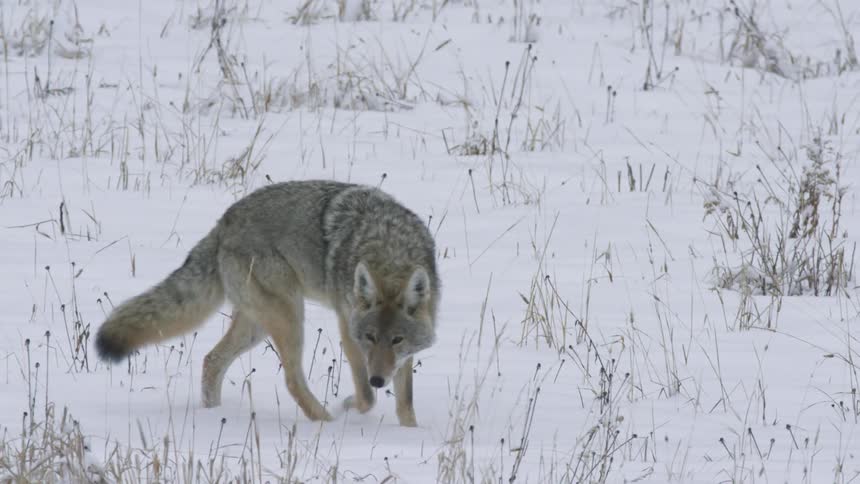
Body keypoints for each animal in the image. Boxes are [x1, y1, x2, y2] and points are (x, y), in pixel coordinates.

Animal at [95, 180, 439, 426]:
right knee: (291, 380)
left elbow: (405, 402)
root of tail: (223, 223)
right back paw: (325, 423)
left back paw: (211, 413)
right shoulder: (347, 325)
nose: (379, 379)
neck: (389, 253)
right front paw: (347, 406)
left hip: (256, 326)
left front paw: (410, 434)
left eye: (397, 340)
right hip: (289, 317)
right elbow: (366, 398)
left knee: (211, 360)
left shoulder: (403, 354)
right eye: (369, 337)